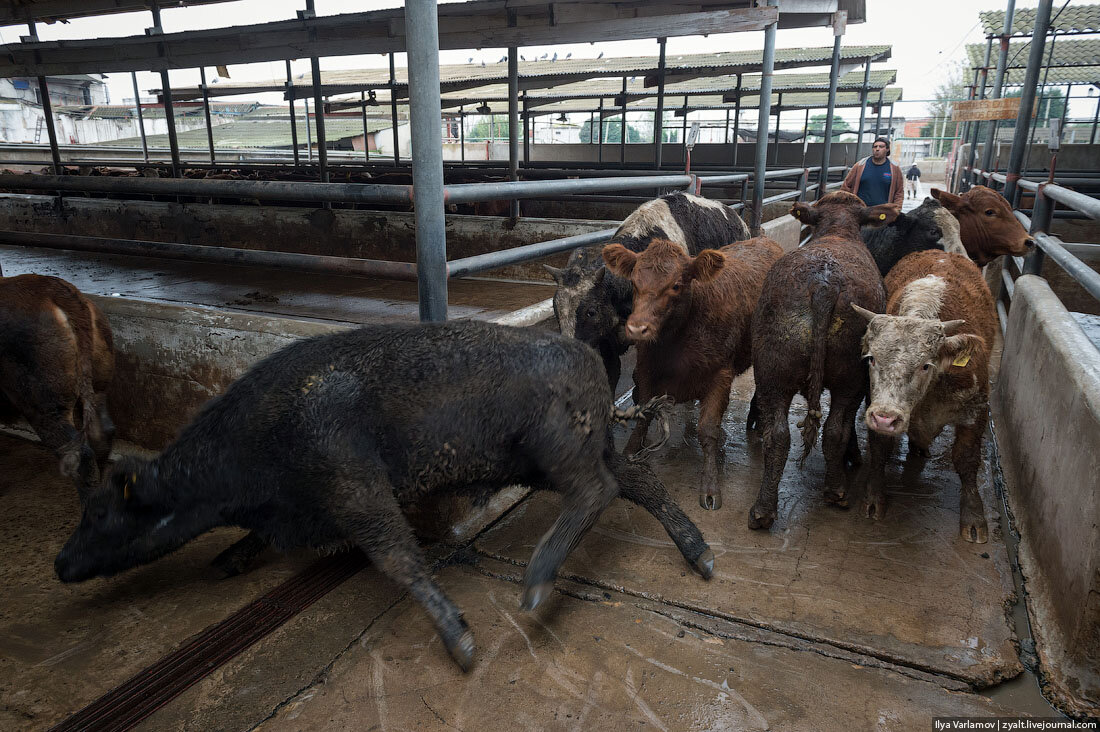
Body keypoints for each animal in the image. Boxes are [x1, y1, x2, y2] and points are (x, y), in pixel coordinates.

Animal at [55, 323, 712, 669]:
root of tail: (588, 358)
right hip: (564, 453)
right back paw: (702, 557)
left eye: (99, 510)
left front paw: (463, 646)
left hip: (556, 447)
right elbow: (258, 538)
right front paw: (222, 564)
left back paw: (533, 588)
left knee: (600, 491)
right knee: (637, 479)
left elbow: (397, 555)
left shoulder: (352, 480)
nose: (60, 563)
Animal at [602, 234, 783, 508]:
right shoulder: (645, 370)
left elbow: (708, 429)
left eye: (676, 285)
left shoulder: (721, 375)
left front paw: (710, 486)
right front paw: (630, 453)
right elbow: (643, 416)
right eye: (634, 282)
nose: (637, 328)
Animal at [743, 191, 897, 528]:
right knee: (836, 429)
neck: (838, 229)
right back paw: (836, 490)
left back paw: (763, 510)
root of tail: (824, 284)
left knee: (777, 436)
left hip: (772, 370)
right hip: (852, 376)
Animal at [849, 250, 998, 541]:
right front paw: (873, 499)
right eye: (871, 358)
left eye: (925, 365)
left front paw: (974, 517)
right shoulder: (876, 404)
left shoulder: (976, 409)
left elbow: (967, 459)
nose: (885, 419)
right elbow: (880, 448)